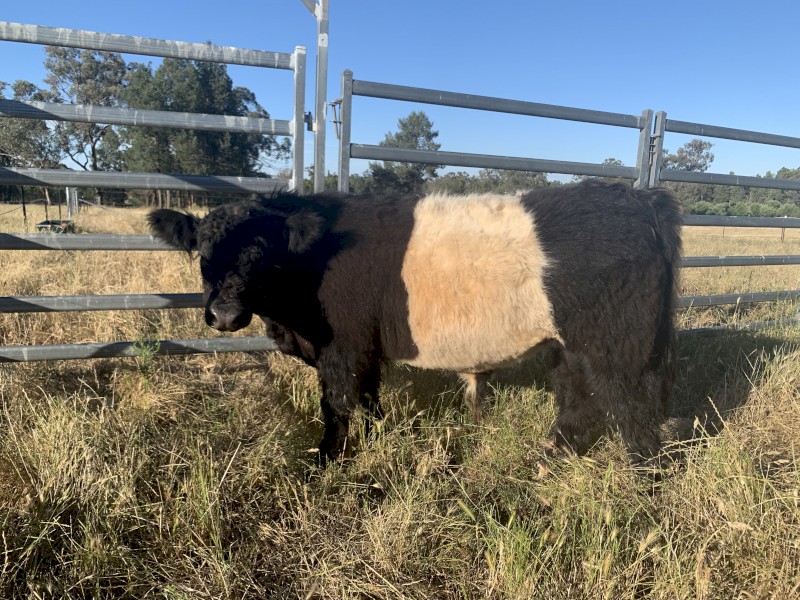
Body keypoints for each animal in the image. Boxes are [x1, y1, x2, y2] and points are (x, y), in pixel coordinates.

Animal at [149, 180, 682, 466]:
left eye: (260, 254)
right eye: (203, 251)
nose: (223, 314)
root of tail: (638, 198)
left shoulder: (342, 346)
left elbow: (337, 403)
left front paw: (327, 459)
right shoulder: (363, 349)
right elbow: (367, 399)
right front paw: (377, 437)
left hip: (618, 347)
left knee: (633, 411)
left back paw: (641, 481)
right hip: (570, 345)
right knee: (578, 400)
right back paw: (549, 457)